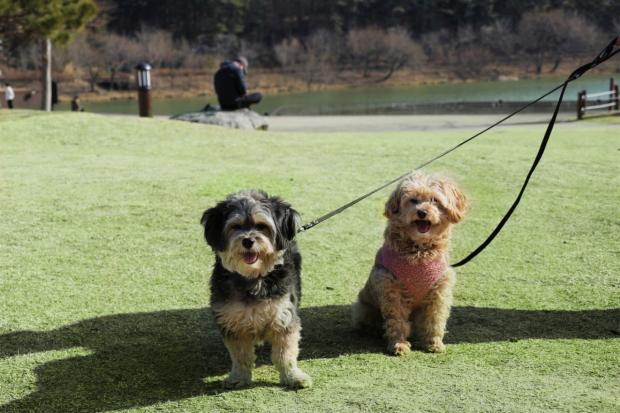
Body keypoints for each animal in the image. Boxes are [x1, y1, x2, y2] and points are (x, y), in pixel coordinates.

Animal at [201, 191, 312, 390]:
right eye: (235, 226)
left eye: (262, 226)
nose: (248, 240)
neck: (254, 278)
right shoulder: (233, 322)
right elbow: (241, 356)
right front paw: (238, 377)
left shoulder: (284, 317)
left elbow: (285, 354)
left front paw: (293, 377)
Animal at [354, 172, 464, 356]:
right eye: (413, 200)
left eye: (435, 200)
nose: (422, 212)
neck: (419, 250)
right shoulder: (391, 288)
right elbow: (396, 320)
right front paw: (398, 345)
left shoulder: (440, 289)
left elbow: (435, 319)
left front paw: (434, 343)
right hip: (365, 306)